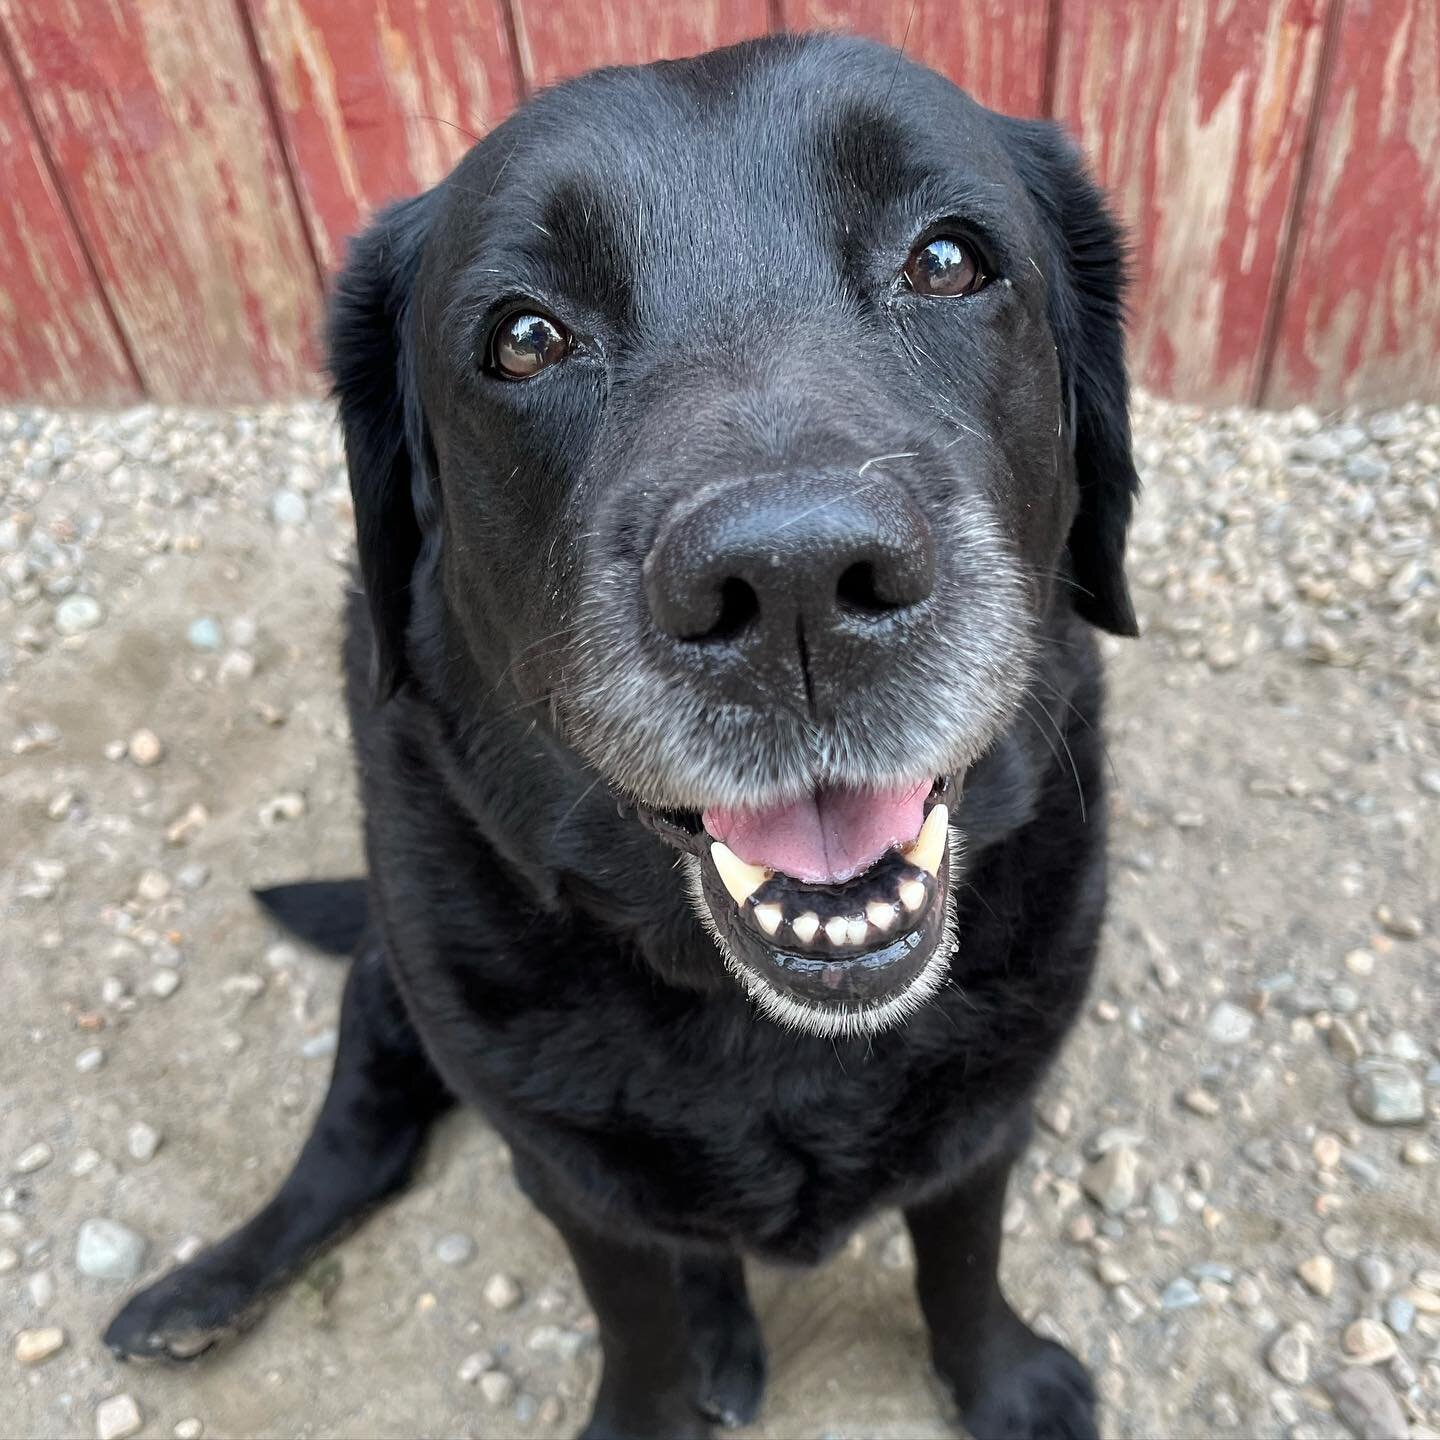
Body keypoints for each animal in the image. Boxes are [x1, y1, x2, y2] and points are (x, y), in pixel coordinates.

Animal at [104, 36, 1134, 1440]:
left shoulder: (990, 1119)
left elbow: (961, 1261)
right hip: (392, 989)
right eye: (526, 338)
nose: (795, 585)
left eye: (947, 261)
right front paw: (665, 1385)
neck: (766, 1028)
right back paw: (208, 1289)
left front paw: (1006, 1382)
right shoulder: (567, 1177)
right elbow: (633, 1320)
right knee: (355, 1150)